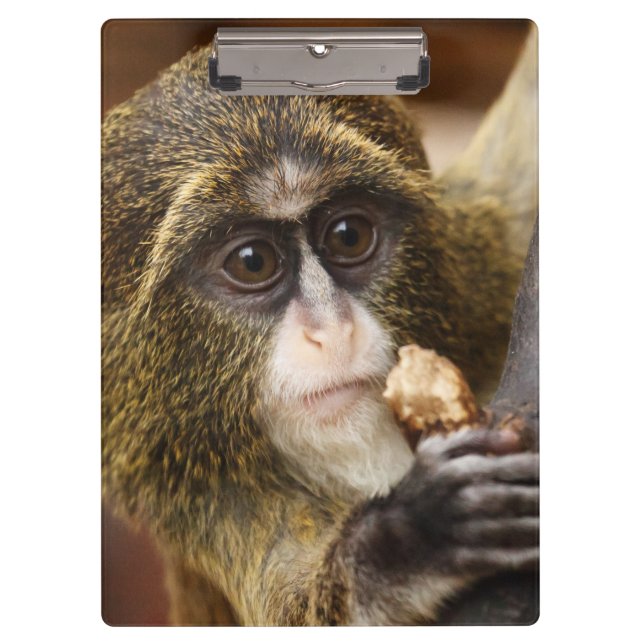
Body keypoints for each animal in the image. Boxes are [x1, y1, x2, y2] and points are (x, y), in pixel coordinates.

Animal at [102, 31, 538, 625]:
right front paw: (413, 536)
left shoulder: (482, 263)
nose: (331, 332)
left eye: (348, 235)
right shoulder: (206, 501)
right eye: (253, 262)